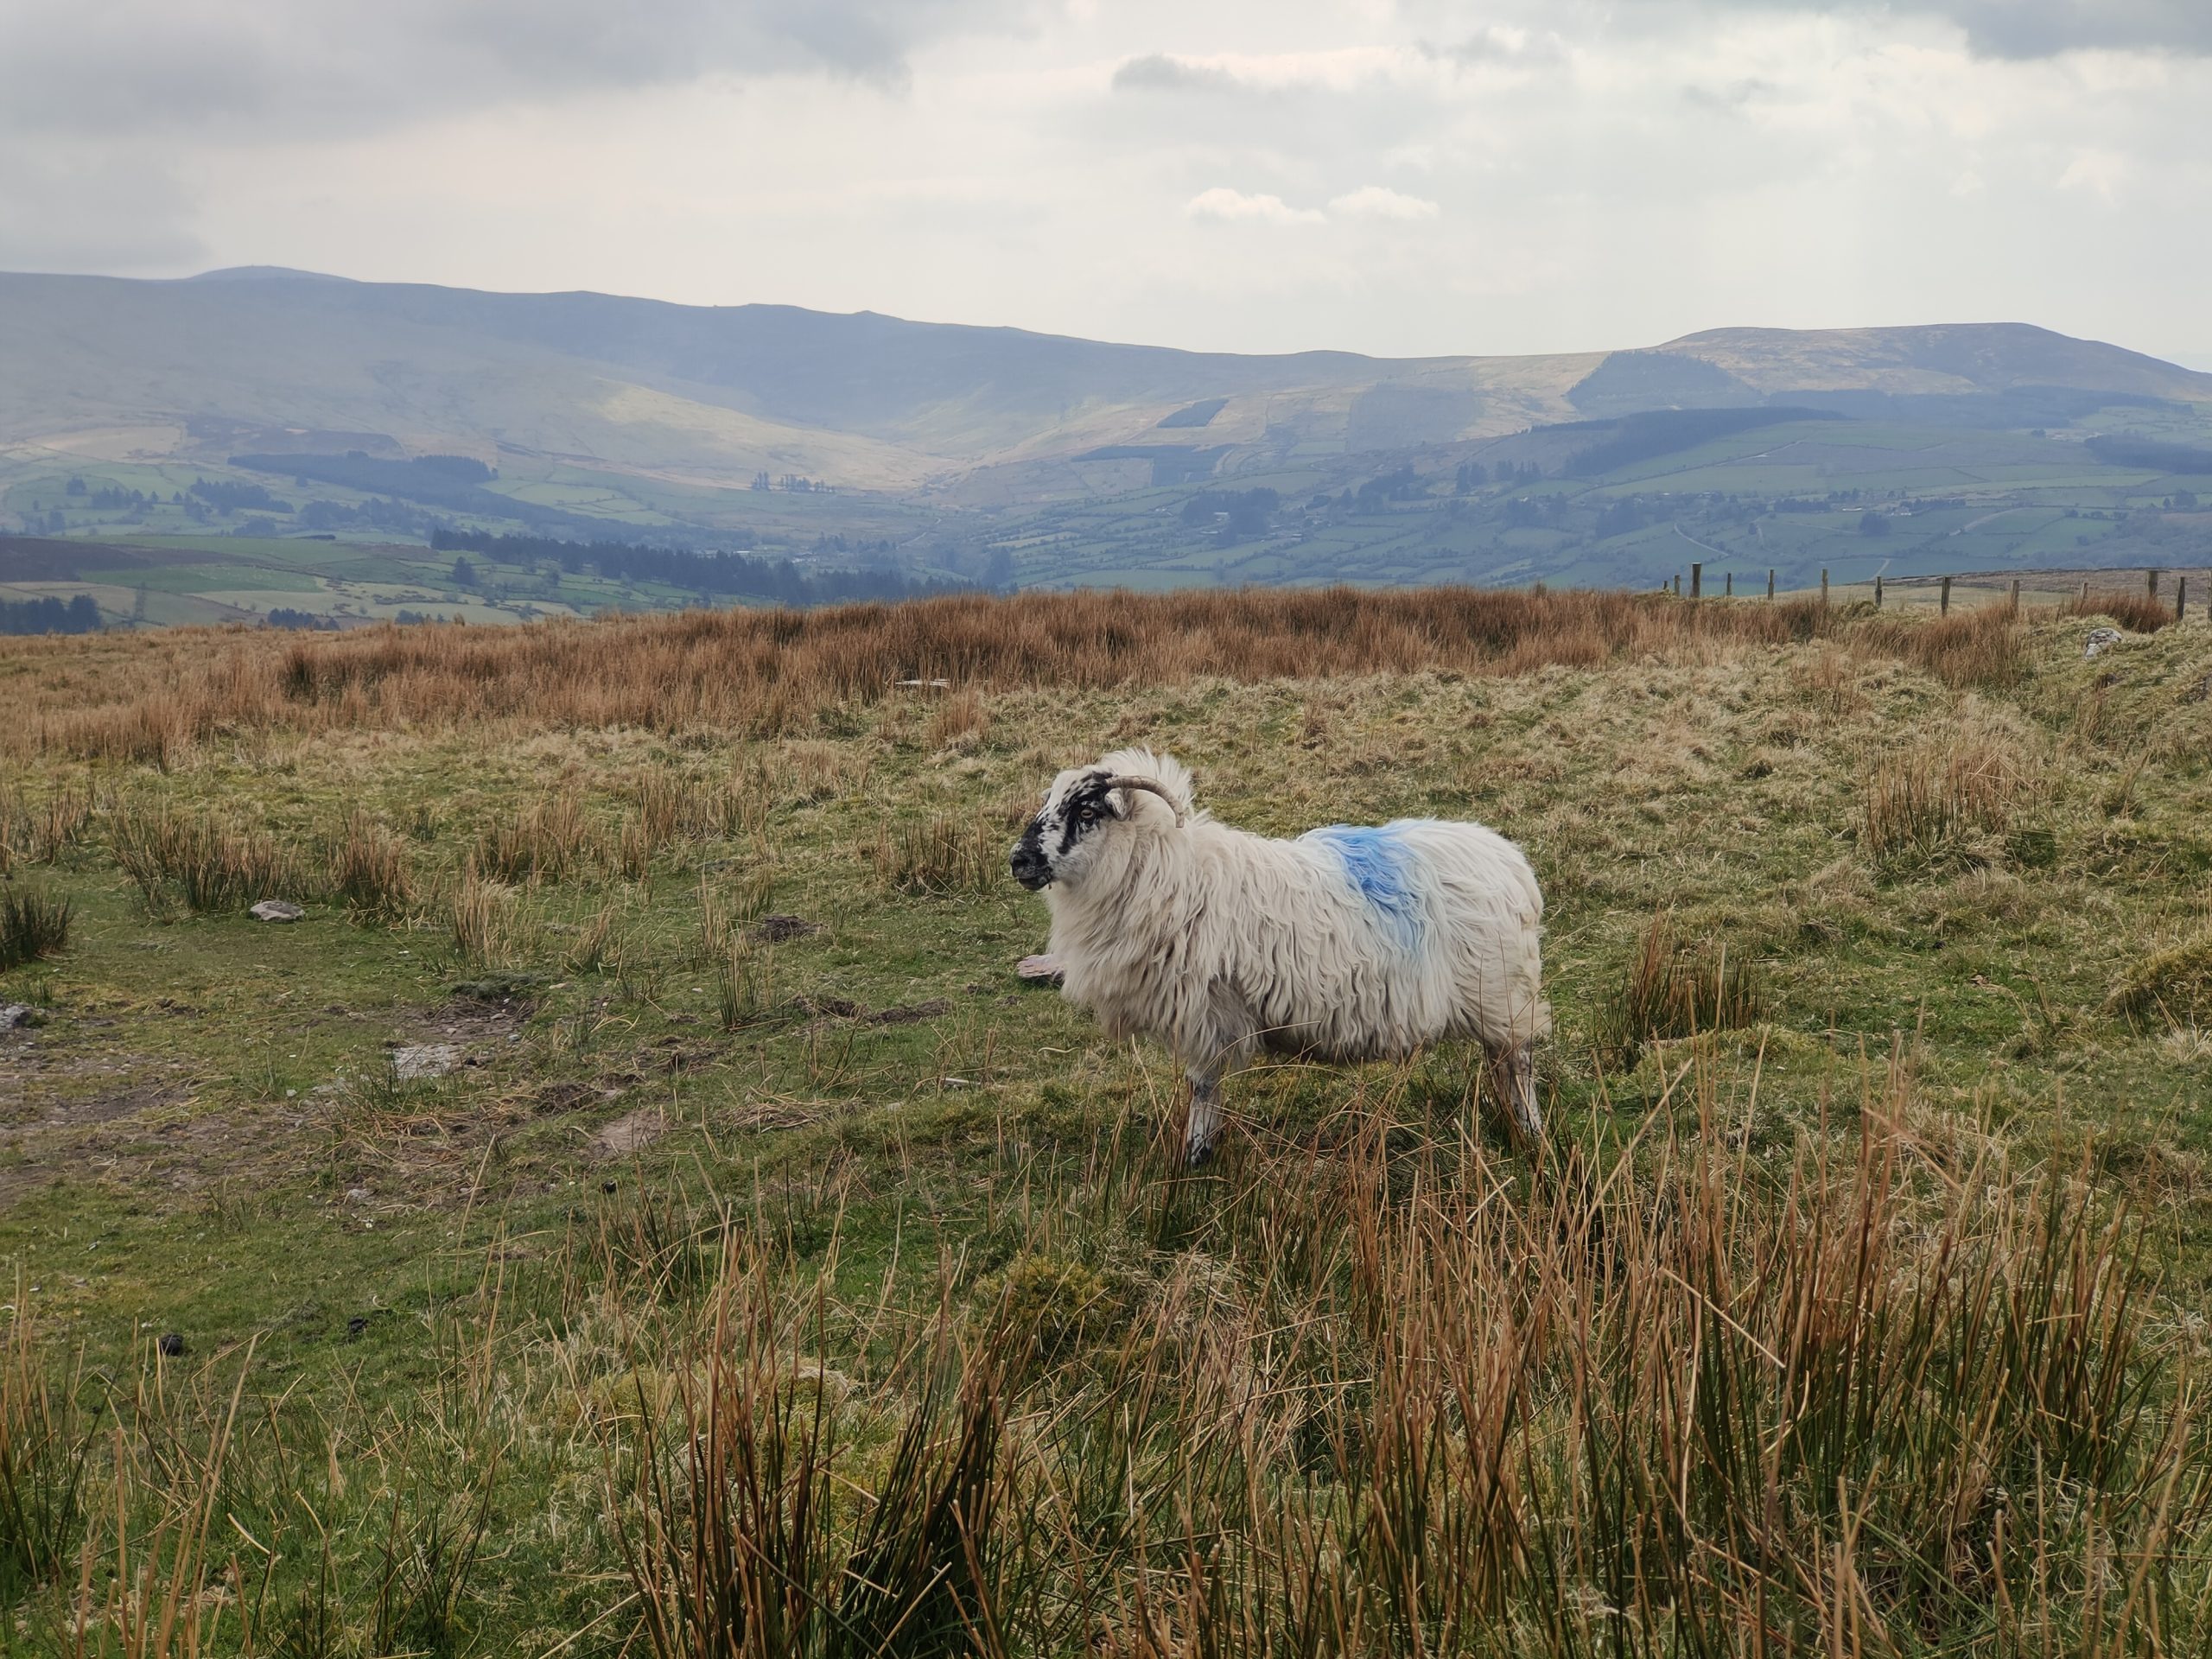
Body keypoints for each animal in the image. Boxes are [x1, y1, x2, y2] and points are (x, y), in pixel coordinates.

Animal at [1013, 747, 1548, 1159]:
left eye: (1086, 813)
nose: (1018, 861)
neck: (1164, 873)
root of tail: (1513, 863)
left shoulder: (1207, 1014)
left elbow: (1202, 1086)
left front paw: (1196, 1155)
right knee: (1500, 1063)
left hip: (1503, 994)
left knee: (1519, 1063)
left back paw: (1530, 1130)